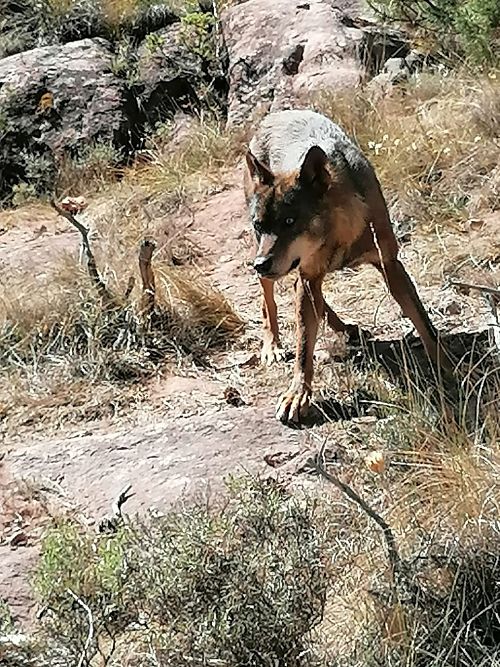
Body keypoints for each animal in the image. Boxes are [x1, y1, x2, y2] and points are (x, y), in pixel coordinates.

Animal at [244, 109, 452, 422]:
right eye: (260, 224)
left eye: (290, 222)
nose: (260, 264)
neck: (340, 233)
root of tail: (277, 113)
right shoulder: (308, 275)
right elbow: (303, 346)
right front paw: (297, 395)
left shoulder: (390, 265)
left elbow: (424, 323)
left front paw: (448, 365)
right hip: (275, 269)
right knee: (268, 301)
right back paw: (273, 346)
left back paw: (345, 328)